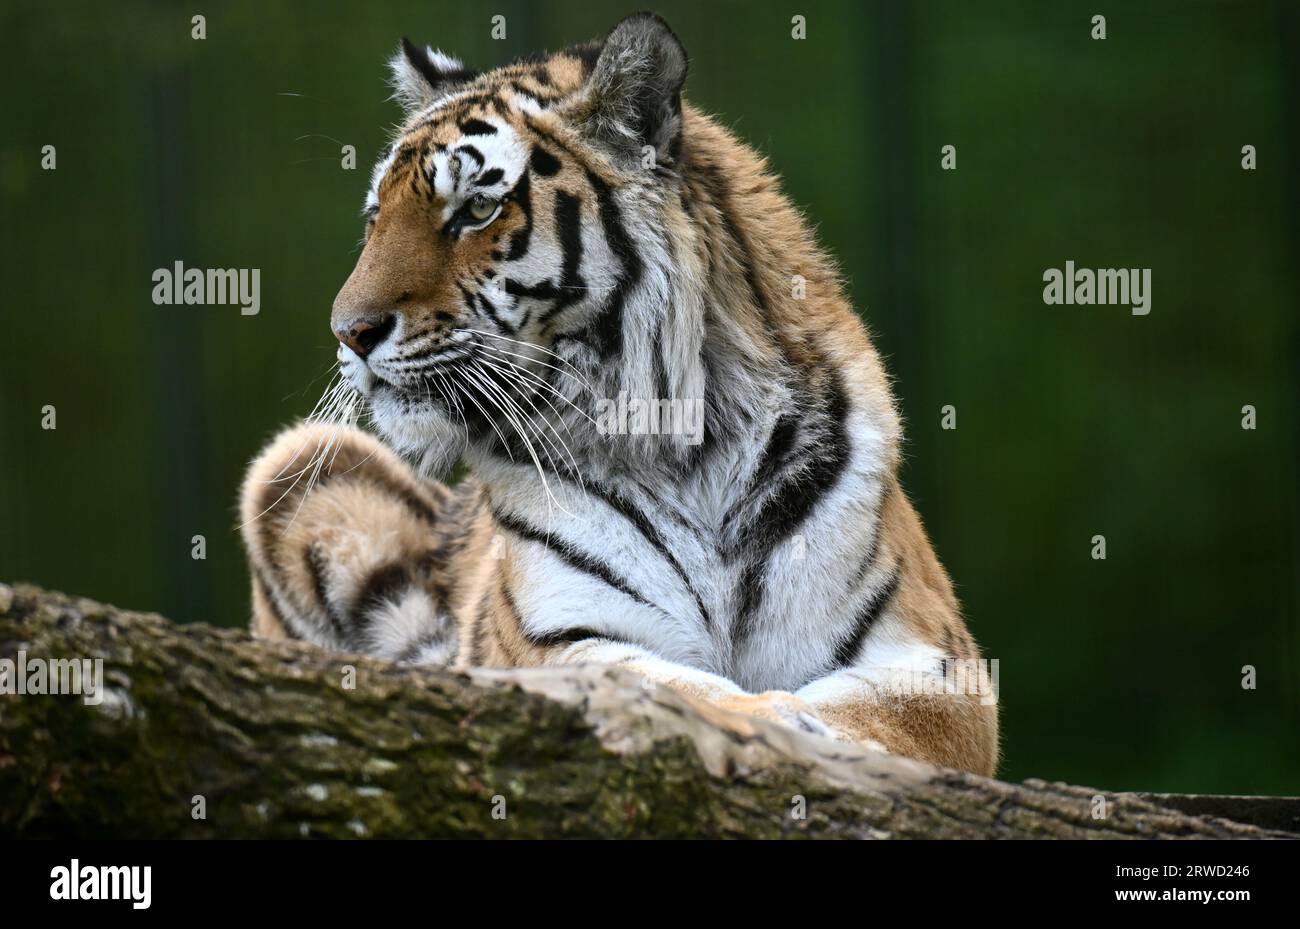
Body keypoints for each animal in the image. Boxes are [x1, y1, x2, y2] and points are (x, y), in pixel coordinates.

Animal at [240, 12, 999, 775]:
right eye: (376, 219)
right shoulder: (556, 638)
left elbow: (888, 713)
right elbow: (674, 686)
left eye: (478, 208)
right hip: (296, 463)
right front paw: (770, 720)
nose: (350, 331)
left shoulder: (941, 659)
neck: (696, 446)